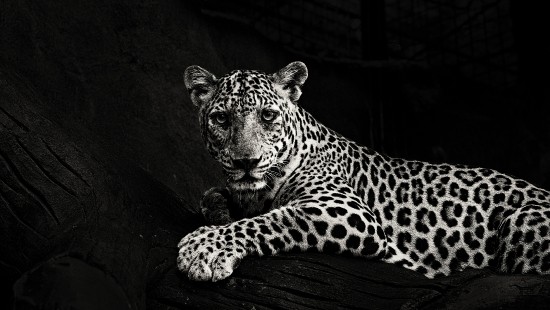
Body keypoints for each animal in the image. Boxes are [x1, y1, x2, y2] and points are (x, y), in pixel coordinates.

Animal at [178, 60, 550, 280]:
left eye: (268, 116)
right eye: (221, 119)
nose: (246, 162)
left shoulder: (344, 210)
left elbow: (274, 220)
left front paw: (204, 248)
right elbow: (213, 197)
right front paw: (220, 213)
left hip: (521, 223)